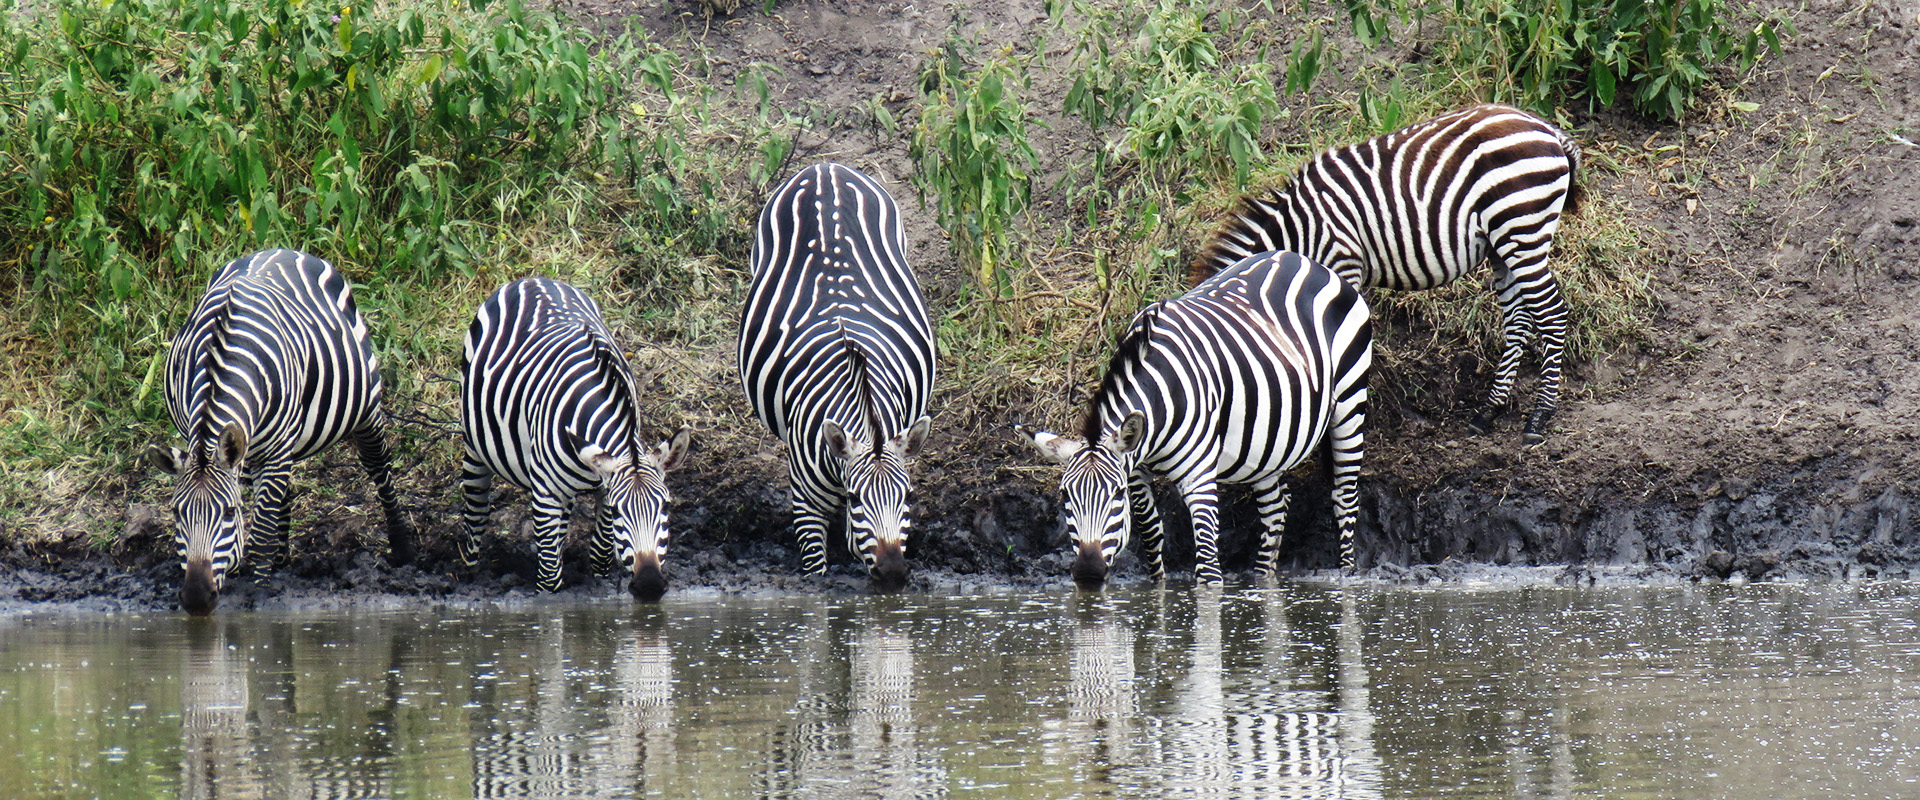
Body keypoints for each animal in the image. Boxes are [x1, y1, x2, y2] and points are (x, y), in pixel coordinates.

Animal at [146, 249, 414, 615]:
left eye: (229, 512)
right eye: (176, 512)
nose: (197, 599)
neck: (221, 364)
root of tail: (280, 250)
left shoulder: (274, 450)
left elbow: (260, 531)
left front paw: (259, 593)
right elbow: (264, 515)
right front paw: (257, 567)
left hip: (365, 407)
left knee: (379, 469)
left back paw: (400, 546)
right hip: (259, 449)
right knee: (280, 493)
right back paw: (280, 557)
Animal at [459, 277, 691, 599]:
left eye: (666, 507)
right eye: (619, 511)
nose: (649, 585)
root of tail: (532, 279)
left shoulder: (605, 487)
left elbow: (601, 553)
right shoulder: (546, 491)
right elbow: (548, 576)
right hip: (474, 445)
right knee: (476, 512)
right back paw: (470, 576)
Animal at [738, 163, 935, 590]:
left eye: (908, 497)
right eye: (857, 500)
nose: (893, 574)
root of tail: (825, 168)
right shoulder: (806, 502)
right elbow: (816, 569)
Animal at [1018, 250, 1372, 585]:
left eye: (1116, 495)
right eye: (1064, 495)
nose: (1088, 573)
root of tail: (1303, 260)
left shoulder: (1198, 477)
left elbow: (1208, 569)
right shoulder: (1135, 470)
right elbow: (1151, 534)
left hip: (1350, 403)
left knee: (1344, 498)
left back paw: (1347, 575)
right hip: (1266, 444)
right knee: (1276, 507)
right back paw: (1262, 578)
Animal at [1196, 104, 1580, 443]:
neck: (1298, 239)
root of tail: (1547, 129)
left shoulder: (1342, 264)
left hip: (1522, 228)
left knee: (1552, 314)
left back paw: (1539, 417)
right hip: (1502, 246)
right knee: (1518, 320)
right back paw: (1488, 411)